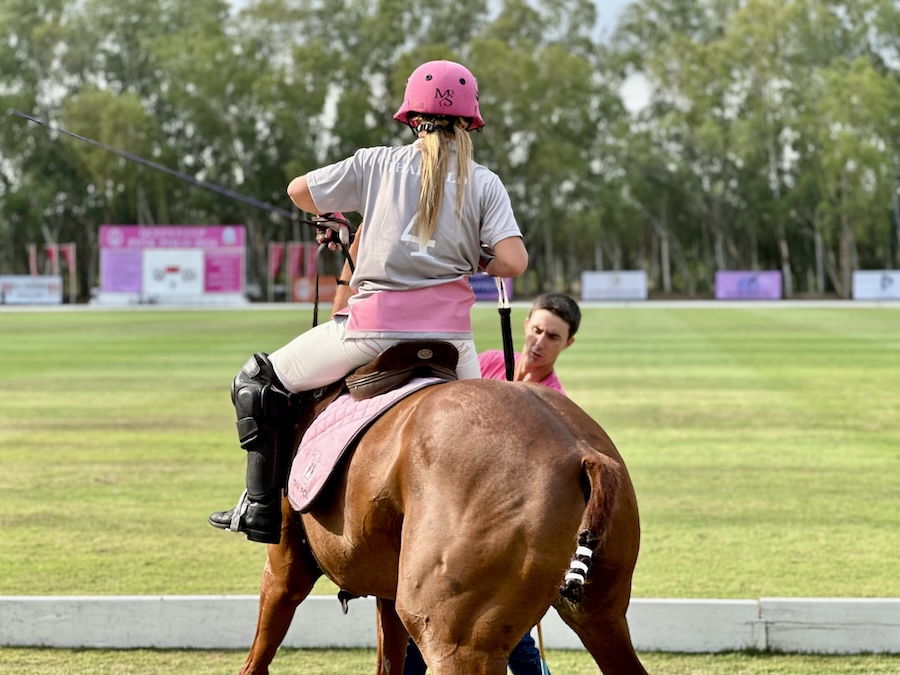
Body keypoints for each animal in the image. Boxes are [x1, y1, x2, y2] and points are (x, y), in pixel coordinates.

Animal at [239, 380, 648, 675]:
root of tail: (580, 452)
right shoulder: (388, 590)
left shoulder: (286, 564)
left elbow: (259, 652)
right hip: (602, 614)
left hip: (456, 640)